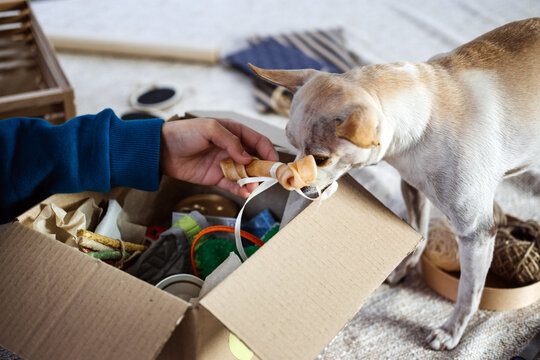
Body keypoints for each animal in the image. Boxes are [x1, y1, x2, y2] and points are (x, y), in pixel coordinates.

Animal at [248, 18, 540, 350]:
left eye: (320, 159)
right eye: (291, 145)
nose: (296, 189)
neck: (428, 113)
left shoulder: (477, 233)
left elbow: (469, 292)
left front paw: (451, 332)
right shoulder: (414, 189)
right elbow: (419, 235)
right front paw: (402, 268)